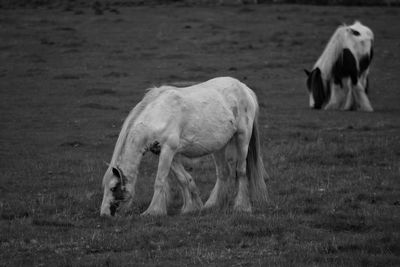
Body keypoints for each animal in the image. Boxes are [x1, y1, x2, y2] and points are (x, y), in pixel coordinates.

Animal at [100, 76, 268, 217]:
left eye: (113, 188)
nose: (104, 214)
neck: (158, 115)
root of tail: (244, 88)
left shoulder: (168, 150)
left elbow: (159, 181)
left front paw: (153, 211)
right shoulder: (168, 153)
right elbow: (183, 179)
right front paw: (191, 207)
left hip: (242, 138)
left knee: (241, 171)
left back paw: (242, 206)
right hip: (219, 146)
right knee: (223, 173)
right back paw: (212, 205)